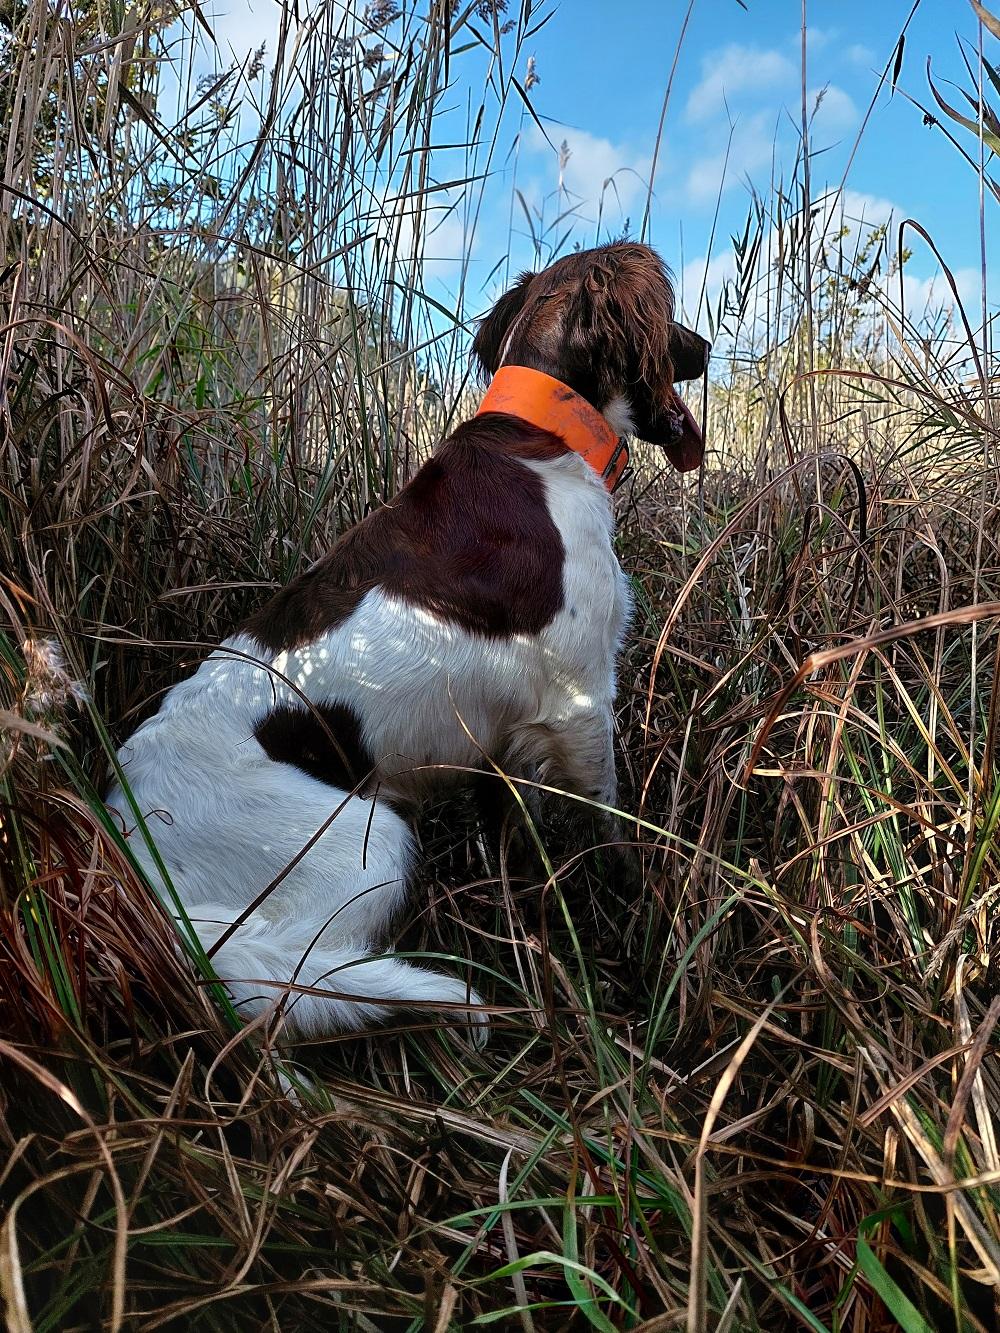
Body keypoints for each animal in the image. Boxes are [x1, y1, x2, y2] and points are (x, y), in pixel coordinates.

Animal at [109, 242, 709, 1039]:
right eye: (670, 320)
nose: (703, 348)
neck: (542, 436)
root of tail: (132, 867)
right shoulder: (581, 702)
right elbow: (613, 831)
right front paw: (638, 923)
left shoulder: (502, 741)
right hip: (367, 842)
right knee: (296, 977)